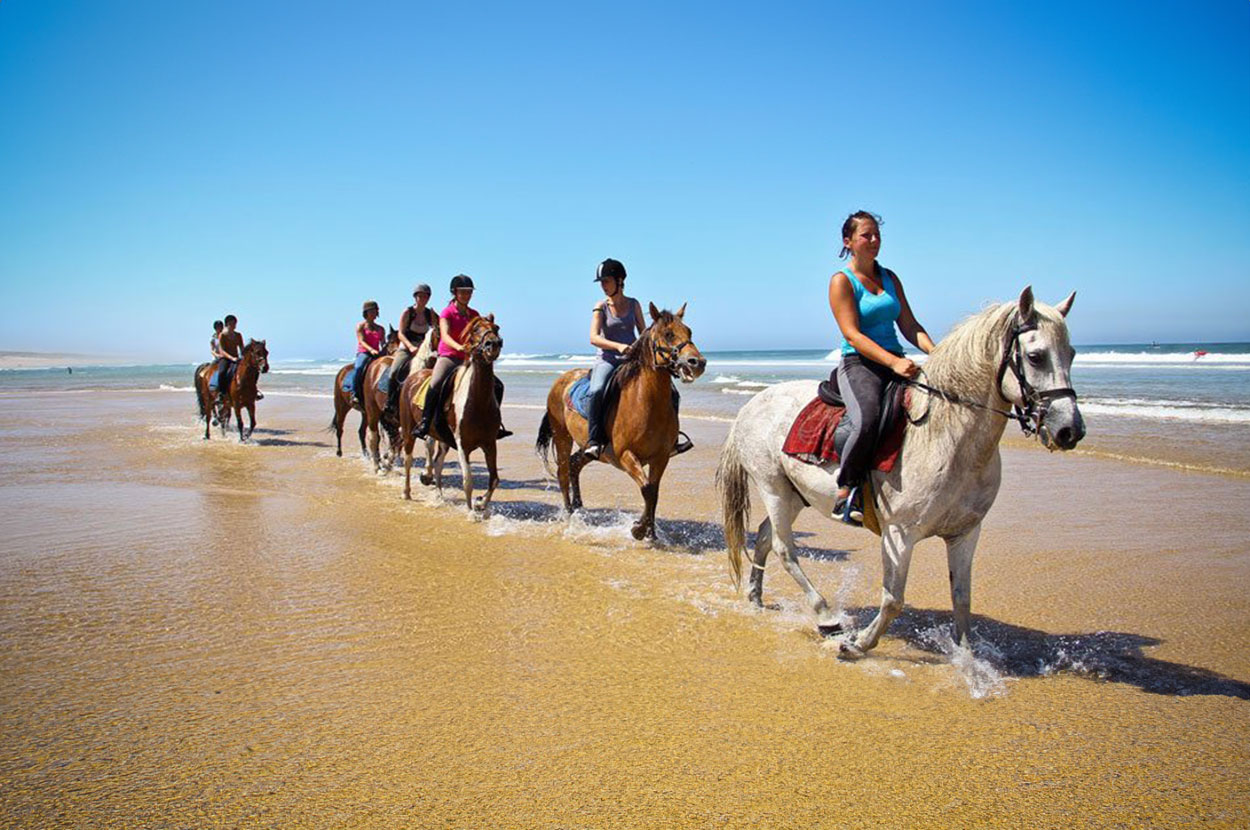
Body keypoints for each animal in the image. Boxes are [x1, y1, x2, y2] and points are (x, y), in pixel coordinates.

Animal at [330, 330, 397, 460]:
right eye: (391, 341)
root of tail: (341, 372)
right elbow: (381, 435)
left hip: (365, 412)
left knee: (361, 431)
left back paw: (366, 454)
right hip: (341, 407)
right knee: (340, 429)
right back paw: (339, 452)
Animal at [397, 315, 500, 515]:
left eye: (496, 327)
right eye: (475, 329)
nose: (493, 344)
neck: (478, 403)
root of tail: (414, 376)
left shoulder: (490, 443)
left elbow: (494, 479)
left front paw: (480, 504)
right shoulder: (462, 444)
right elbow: (468, 480)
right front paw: (471, 512)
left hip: (442, 438)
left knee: (437, 464)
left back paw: (439, 495)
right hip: (408, 430)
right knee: (408, 459)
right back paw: (406, 492)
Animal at [532, 301, 705, 542]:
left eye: (689, 332)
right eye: (668, 334)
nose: (697, 362)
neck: (645, 402)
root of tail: (562, 379)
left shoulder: (661, 457)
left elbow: (654, 491)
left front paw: (650, 532)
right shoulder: (625, 455)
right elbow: (647, 489)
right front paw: (638, 530)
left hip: (591, 448)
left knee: (575, 465)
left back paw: (578, 508)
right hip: (562, 436)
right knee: (563, 472)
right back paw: (569, 514)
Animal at [720, 288, 1090, 660]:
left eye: (1072, 354)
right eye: (1035, 356)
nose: (1069, 430)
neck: (947, 437)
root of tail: (752, 405)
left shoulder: (965, 533)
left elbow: (962, 598)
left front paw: (966, 656)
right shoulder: (899, 534)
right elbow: (893, 599)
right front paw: (857, 645)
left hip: (796, 495)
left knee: (765, 537)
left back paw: (756, 597)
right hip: (773, 488)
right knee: (784, 548)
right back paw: (826, 617)